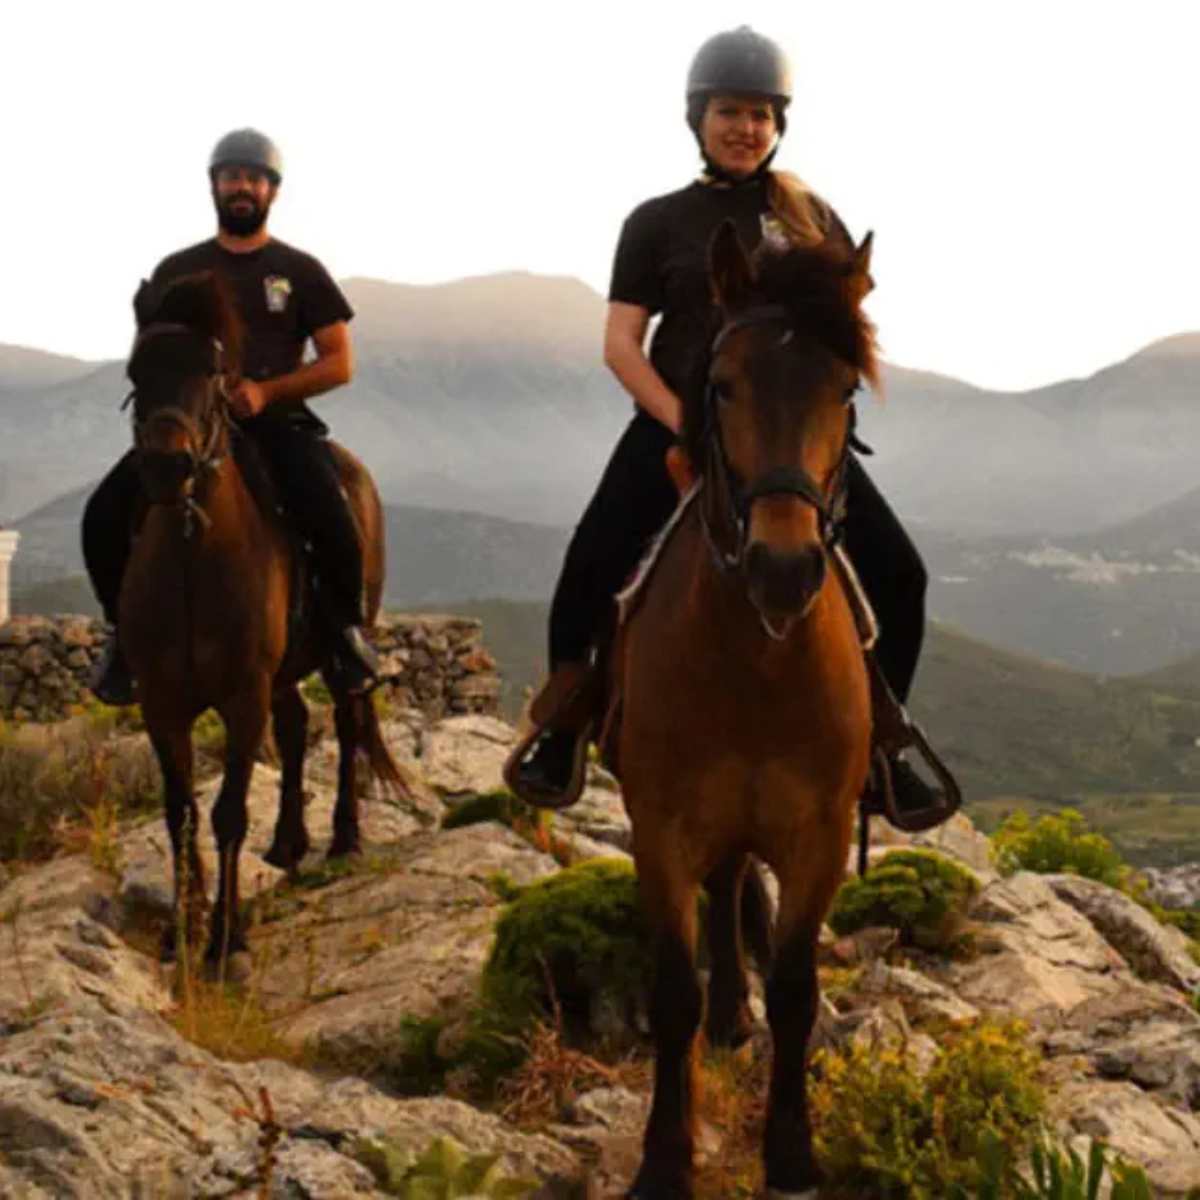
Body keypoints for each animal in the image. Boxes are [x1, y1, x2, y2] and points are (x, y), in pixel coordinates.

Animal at [120, 270, 406, 969]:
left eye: (214, 371)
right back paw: (288, 842)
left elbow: (227, 812)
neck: (194, 555)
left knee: (348, 723)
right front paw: (183, 927)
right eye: (136, 370)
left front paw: (226, 938)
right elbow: (180, 812)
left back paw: (344, 838)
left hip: (339, 648)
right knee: (299, 725)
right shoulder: (162, 703)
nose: (167, 467)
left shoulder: (243, 696)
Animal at [615, 221, 878, 1199]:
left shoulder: (820, 832)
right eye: (722, 383)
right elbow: (671, 991)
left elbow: (797, 989)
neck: (756, 663)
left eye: (845, 390)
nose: (784, 569)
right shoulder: (659, 827)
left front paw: (792, 1154)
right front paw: (663, 1159)